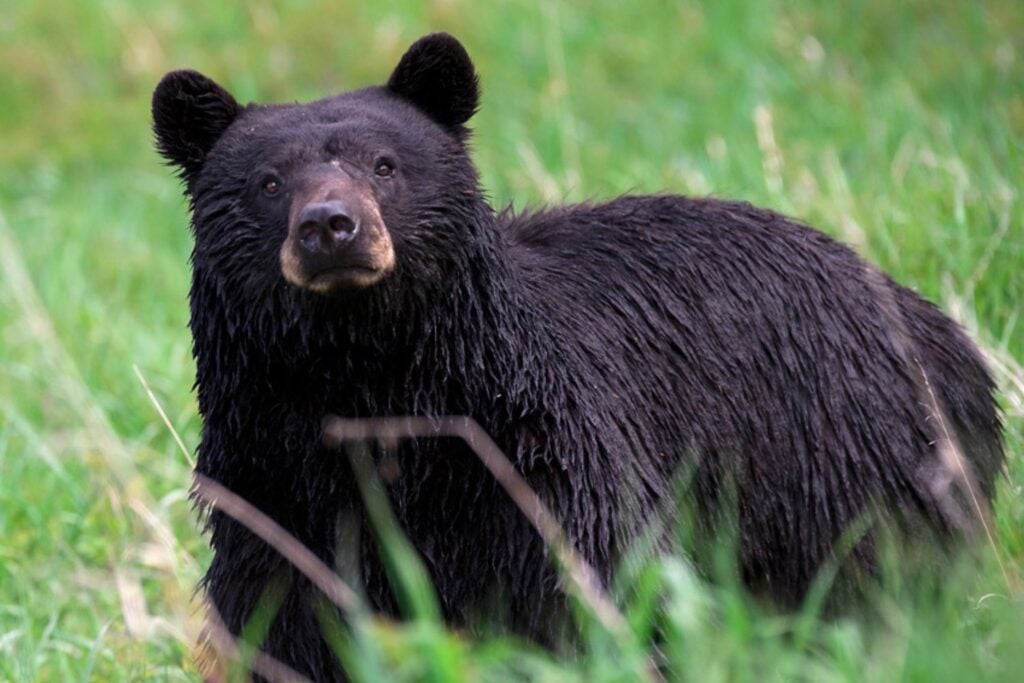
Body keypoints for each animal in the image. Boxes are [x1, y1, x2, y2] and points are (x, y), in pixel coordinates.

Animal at [152, 33, 1003, 680]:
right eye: (268, 182)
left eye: (386, 165)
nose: (331, 226)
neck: (370, 382)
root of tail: (944, 331)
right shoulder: (272, 483)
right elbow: (287, 622)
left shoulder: (535, 461)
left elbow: (592, 589)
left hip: (846, 460)